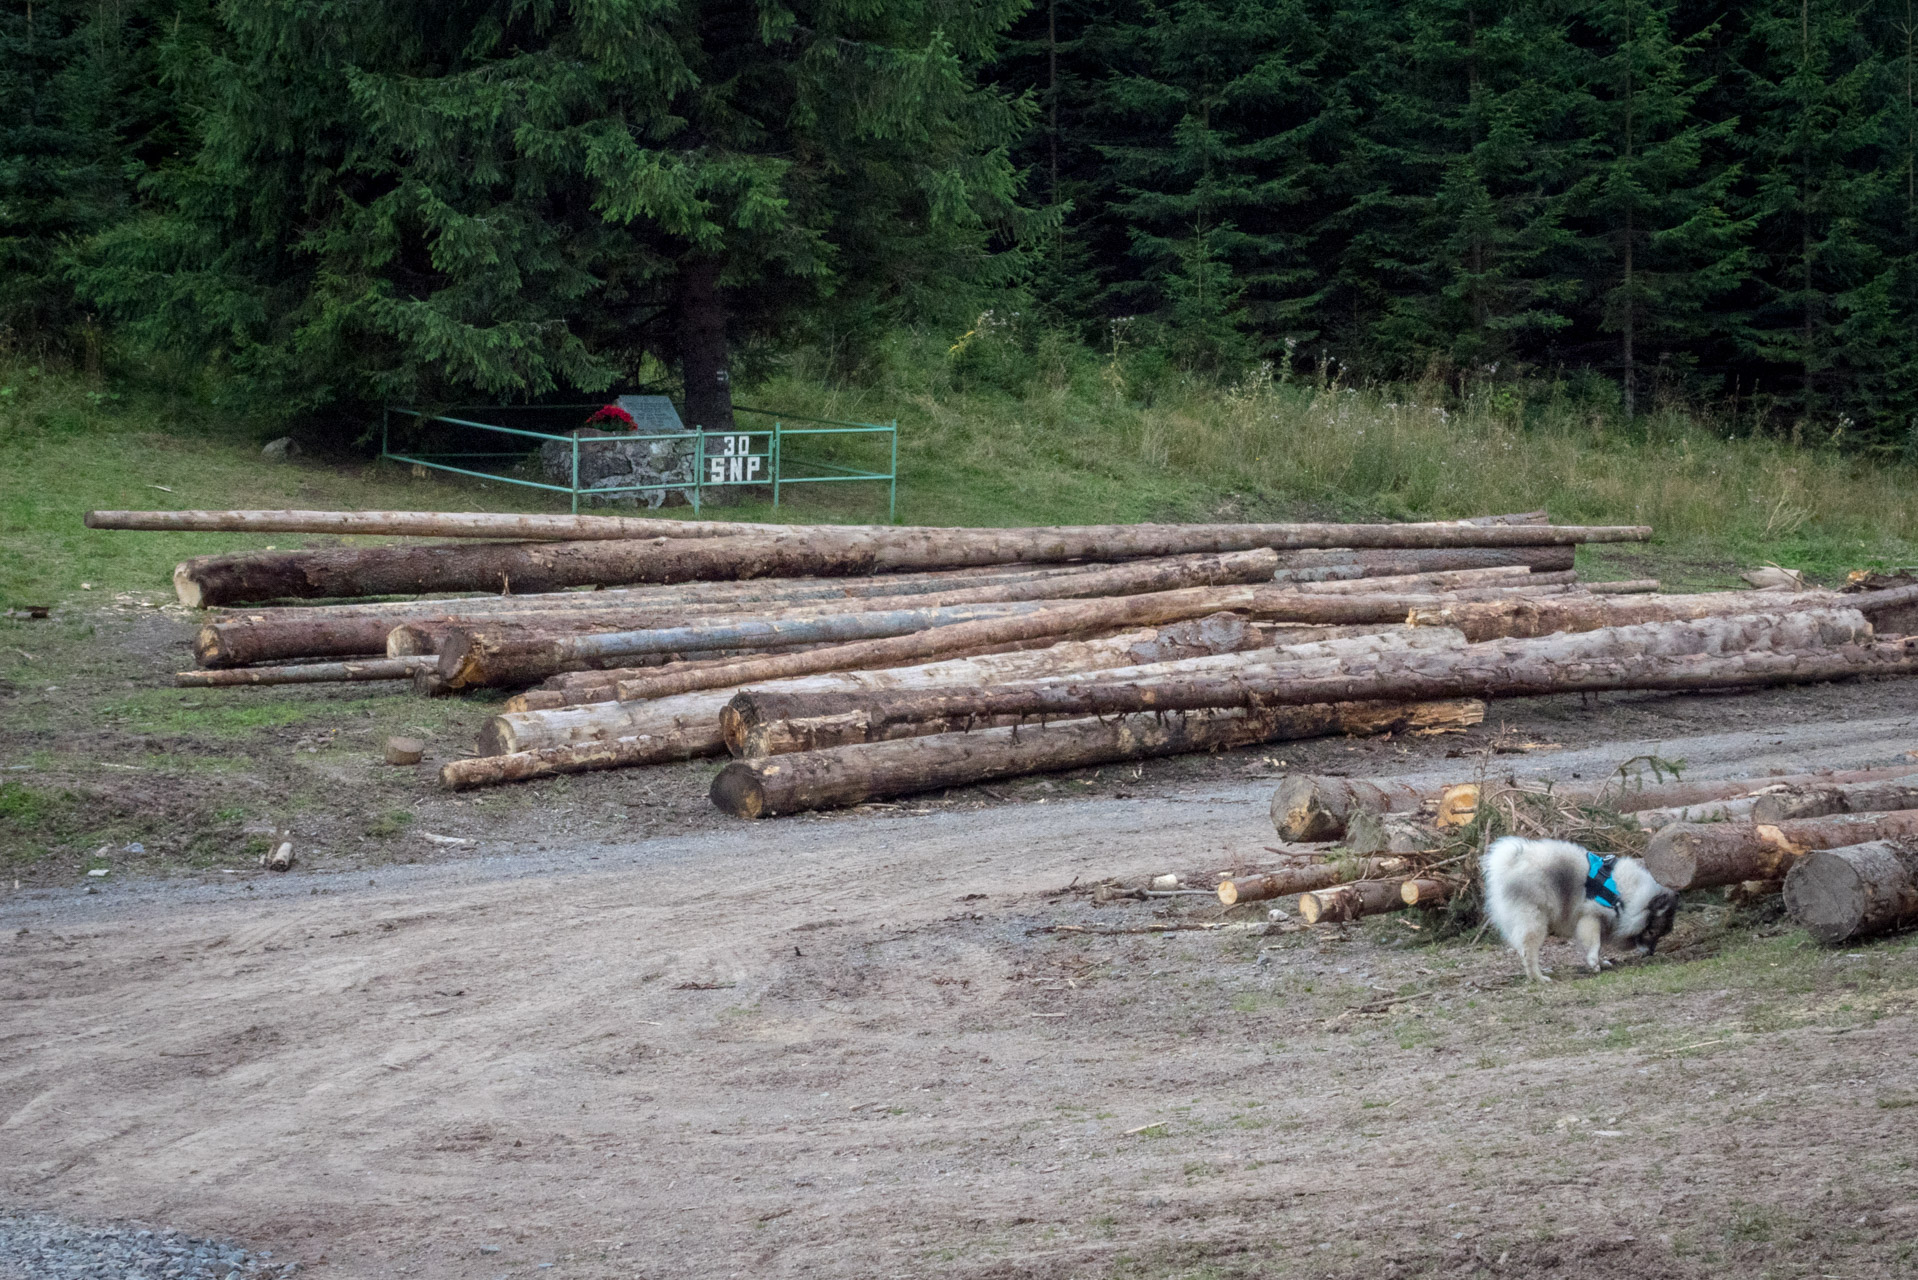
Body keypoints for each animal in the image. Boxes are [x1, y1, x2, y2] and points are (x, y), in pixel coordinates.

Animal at [1480, 836, 1680, 990]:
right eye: (1651, 932)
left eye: (1660, 935)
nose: (1650, 953)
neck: (1624, 894)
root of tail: (1511, 864)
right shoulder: (1591, 917)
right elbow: (1595, 944)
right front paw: (1594, 963)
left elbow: (1595, 947)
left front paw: (1600, 962)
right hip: (1535, 922)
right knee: (1528, 953)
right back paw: (1538, 977)